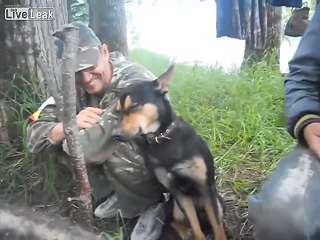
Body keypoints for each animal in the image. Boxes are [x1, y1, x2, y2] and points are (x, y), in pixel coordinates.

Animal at [111, 64, 226, 240]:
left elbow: (218, 228)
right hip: (175, 206)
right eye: (117, 111)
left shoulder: (205, 188)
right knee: (175, 221)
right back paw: (185, 232)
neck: (162, 139)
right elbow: (195, 228)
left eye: (133, 105)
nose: (114, 135)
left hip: (217, 201)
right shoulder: (179, 194)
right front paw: (194, 234)